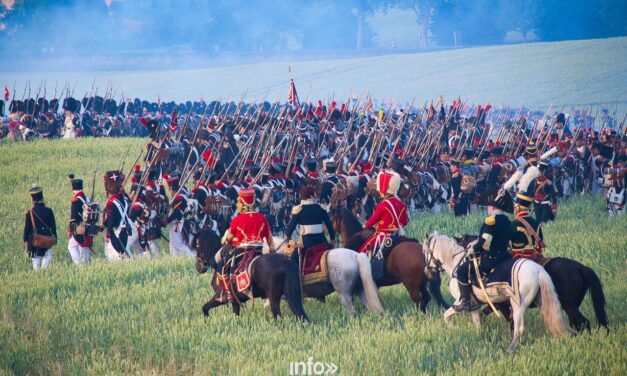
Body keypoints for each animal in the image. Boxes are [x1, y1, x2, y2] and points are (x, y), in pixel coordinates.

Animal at [422, 232, 576, 352]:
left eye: (425, 251)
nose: (427, 271)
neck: (456, 263)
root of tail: (538, 270)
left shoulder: (461, 302)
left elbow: (446, 315)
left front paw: (452, 330)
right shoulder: (476, 306)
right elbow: (478, 325)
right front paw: (477, 339)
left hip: (518, 305)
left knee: (519, 328)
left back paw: (510, 349)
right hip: (540, 301)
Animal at [456, 235, 608, 332]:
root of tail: (581, 267)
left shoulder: (501, 304)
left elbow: (510, 321)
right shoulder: (499, 304)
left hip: (569, 305)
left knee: (583, 322)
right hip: (572, 305)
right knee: (577, 323)